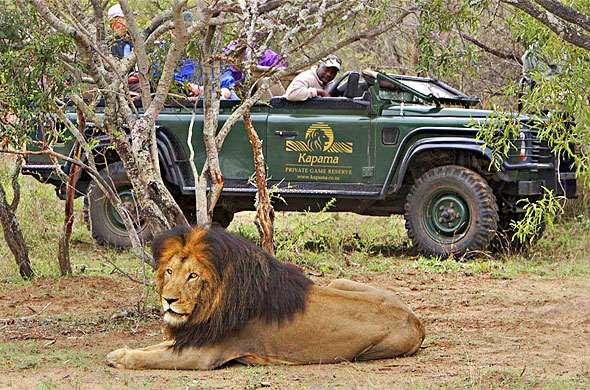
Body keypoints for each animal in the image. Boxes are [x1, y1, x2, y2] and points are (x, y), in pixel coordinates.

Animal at [106, 225, 428, 368]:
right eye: (170, 271)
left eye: (193, 276)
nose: (168, 300)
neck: (209, 306)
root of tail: (416, 319)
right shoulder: (191, 337)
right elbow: (155, 346)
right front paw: (117, 351)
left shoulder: (202, 355)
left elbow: (149, 357)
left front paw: (122, 358)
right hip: (339, 281)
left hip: (367, 352)